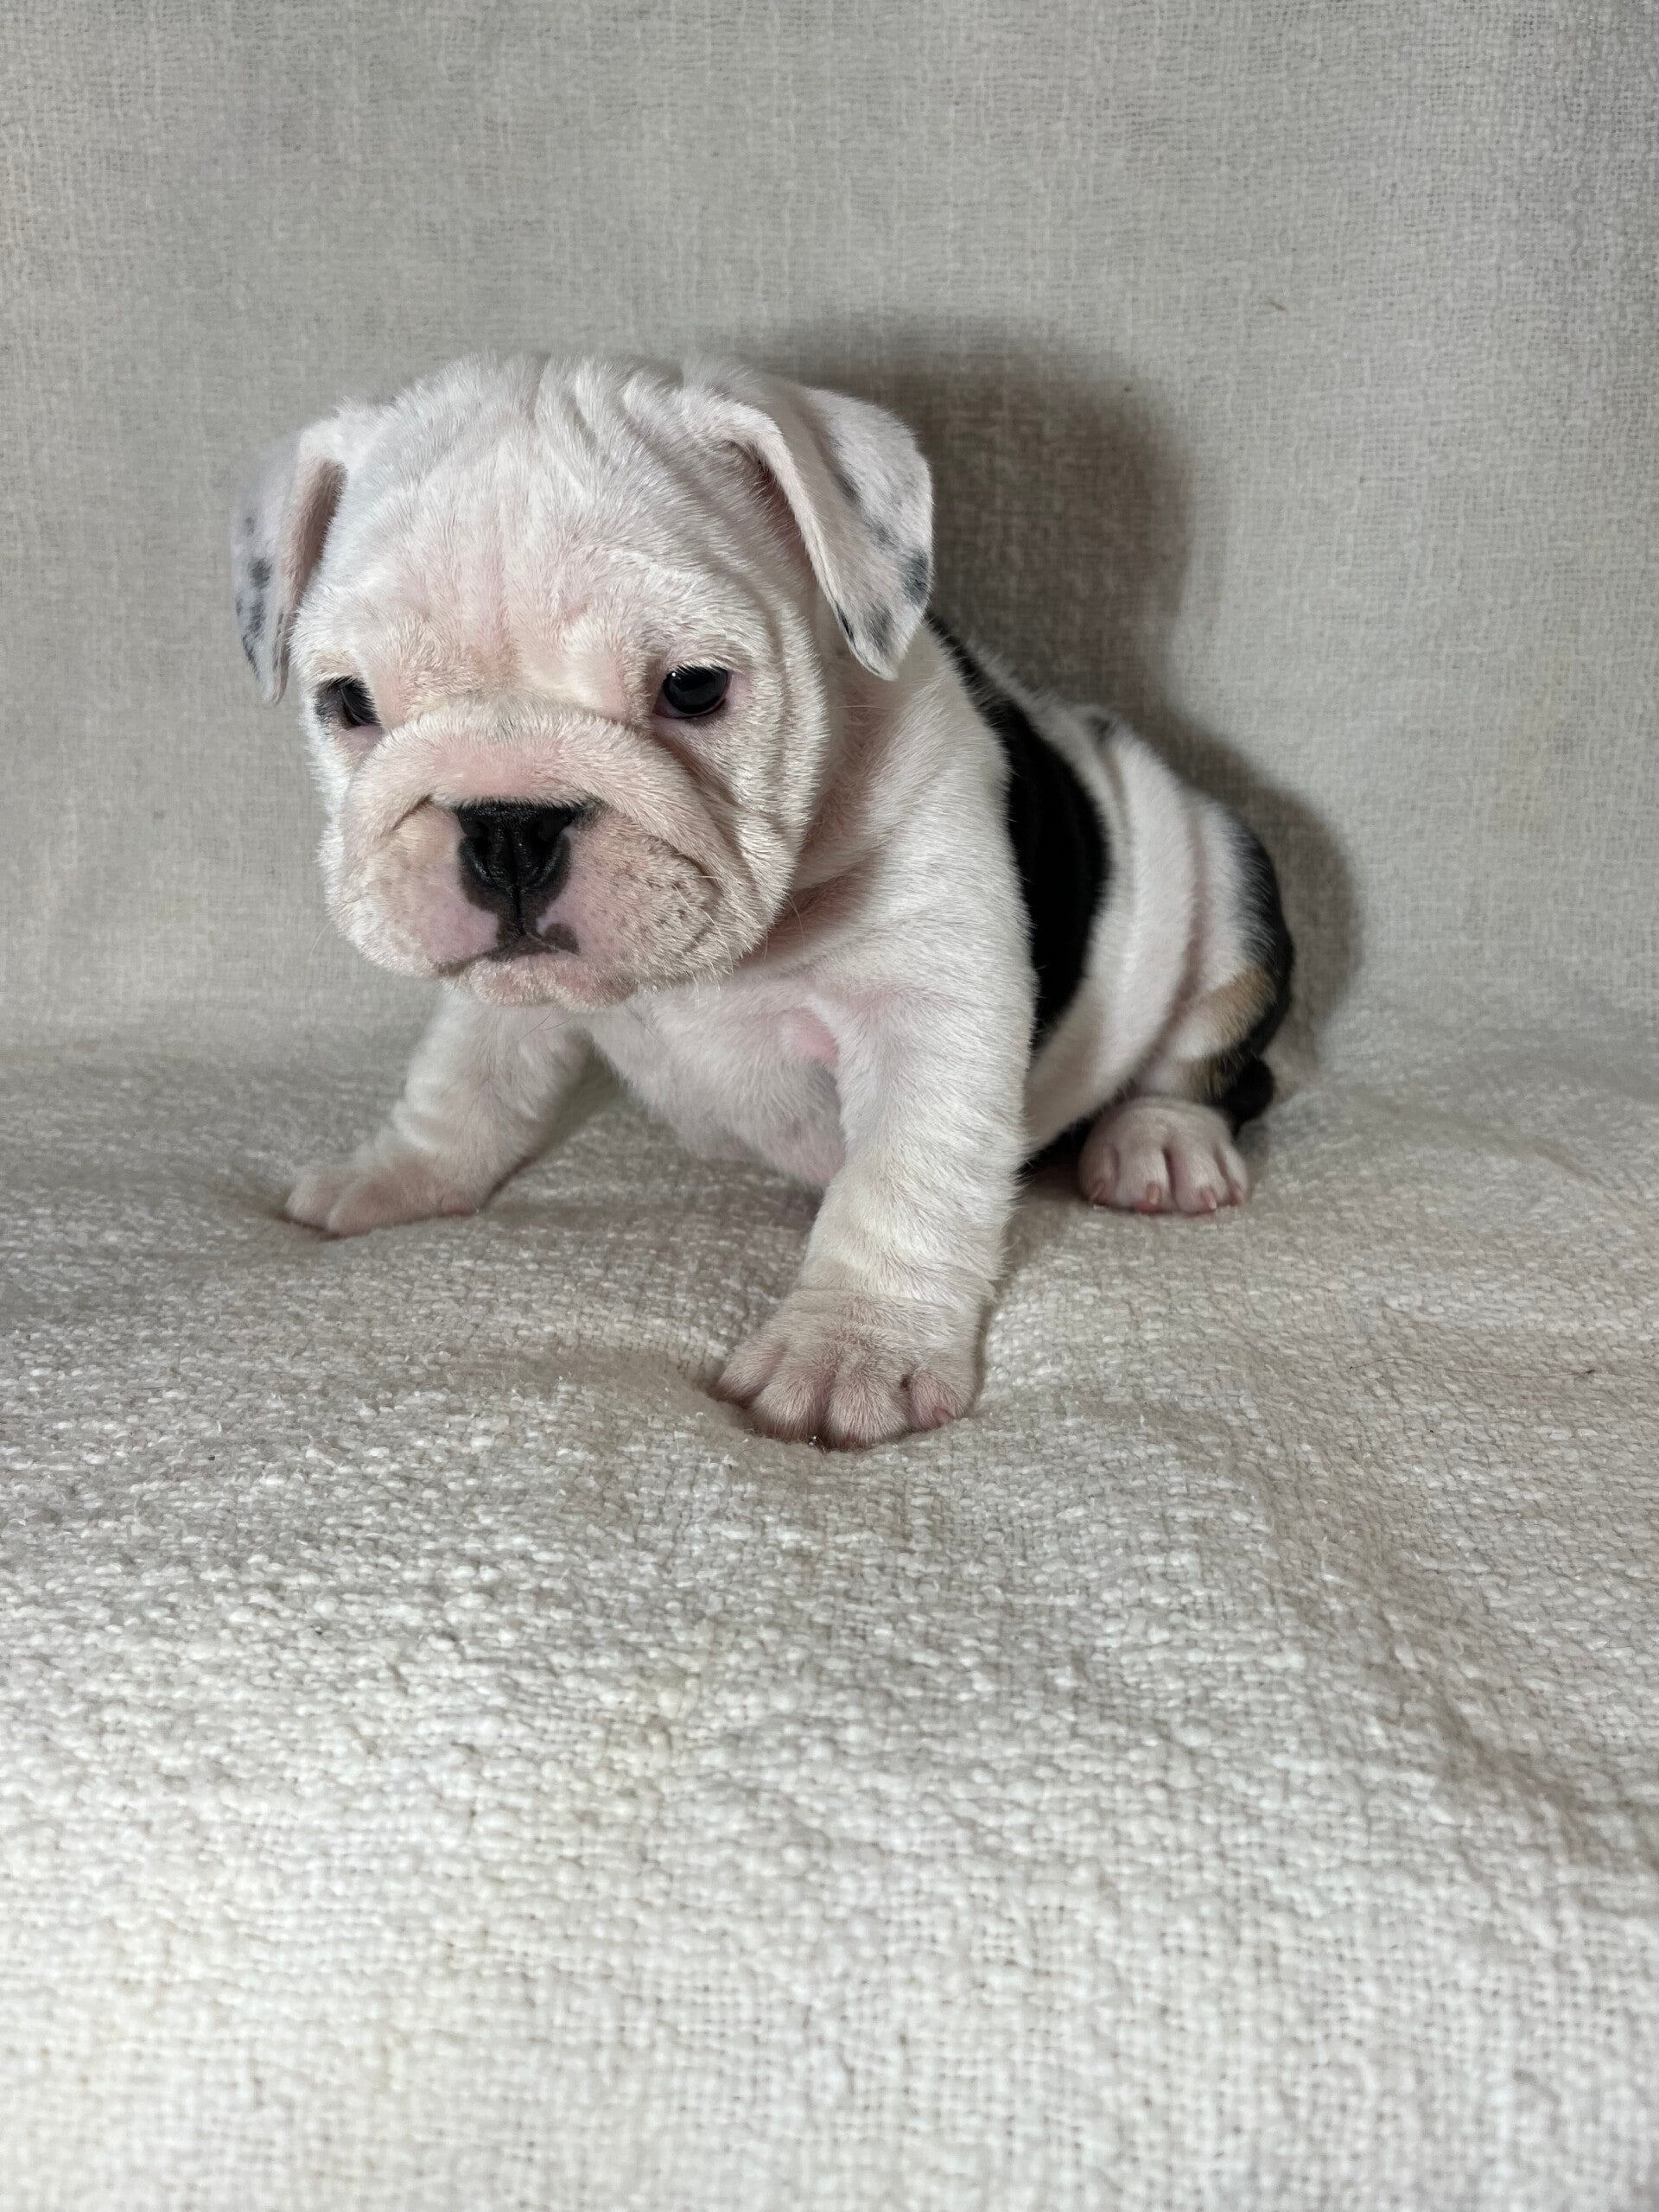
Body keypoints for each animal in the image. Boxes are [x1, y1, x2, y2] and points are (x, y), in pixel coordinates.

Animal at [231, 354, 1292, 1447]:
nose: (508, 824)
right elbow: (464, 1077)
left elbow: (902, 1172)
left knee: (1217, 1060)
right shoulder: (500, 993)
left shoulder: (926, 1003)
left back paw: (1161, 1140)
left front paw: (850, 1347)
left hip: (1224, 879)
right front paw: (401, 1173)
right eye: (349, 704)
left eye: (695, 687)